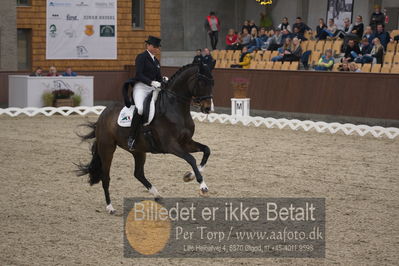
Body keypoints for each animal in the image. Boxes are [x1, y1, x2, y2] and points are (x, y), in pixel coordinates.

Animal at [76, 64, 214, 214]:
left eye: (212, 83)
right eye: (201, 82)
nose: (208, 108)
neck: (175, 109)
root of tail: (103, 114)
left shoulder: (186, 143)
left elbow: (206, 150)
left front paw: (189, 176)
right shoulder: (171, 145)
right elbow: (191, 159)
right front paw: (202, 186)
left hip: (138, 151)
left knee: (138, 173)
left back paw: (157, 194)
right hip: (107, 148)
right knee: (106, 177)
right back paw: (110, 207)